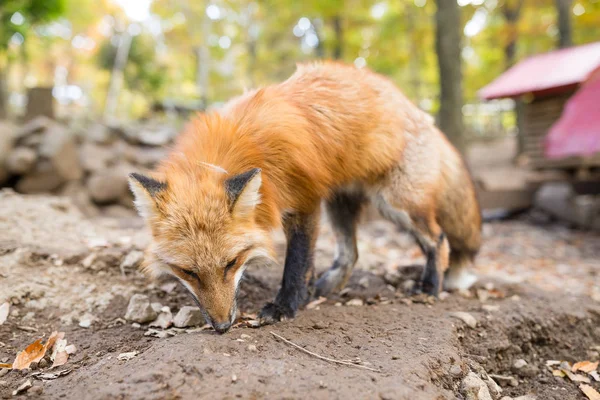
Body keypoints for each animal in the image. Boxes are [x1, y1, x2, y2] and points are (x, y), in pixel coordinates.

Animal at [130, 60, 482, 334]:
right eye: (189, 272)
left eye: (231, 263)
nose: (222, 326)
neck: (247, 146)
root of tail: (421, 113)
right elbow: (308, 263)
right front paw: (304, 294)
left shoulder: (305, 200)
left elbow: (297, 263)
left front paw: (285, 306)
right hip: (340, 203)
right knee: (351, 253)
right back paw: (326, 287)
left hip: (397, 203)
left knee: (438, 239)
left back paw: (430, 286)